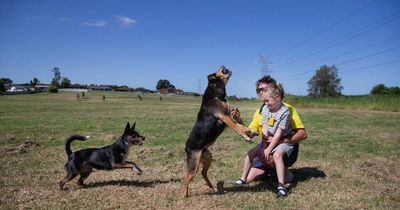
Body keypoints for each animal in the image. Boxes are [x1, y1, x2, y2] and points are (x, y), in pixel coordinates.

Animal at [183, 65, 258, 197]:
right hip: (194, 165)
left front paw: (251, 132)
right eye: (219, 70)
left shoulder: (227, 117)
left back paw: (212, 187)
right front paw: (247, 137)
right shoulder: (224, 117)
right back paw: (185, 194)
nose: (223, 65)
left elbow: (240, 126)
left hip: (208, 158)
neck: (216, 94)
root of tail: (186, 148)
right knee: (187, 178)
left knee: (203, 173)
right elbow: (237, 128)